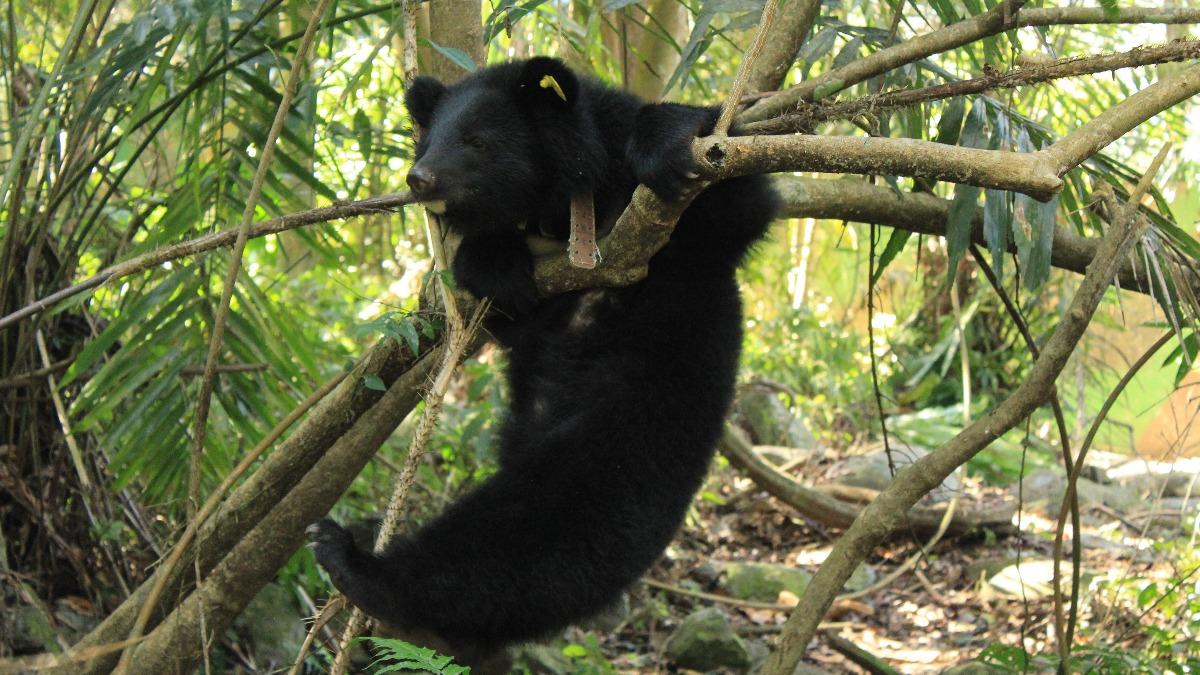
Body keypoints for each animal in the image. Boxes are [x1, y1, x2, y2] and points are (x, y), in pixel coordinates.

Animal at [310, 56, 779, 668]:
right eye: (427, 140)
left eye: (476, 140)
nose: (420, 179)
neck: (565, 210)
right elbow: (502, 298)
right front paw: (500, 267)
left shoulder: (691, 244)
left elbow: (738, 198)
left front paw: (667, 149)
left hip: (628, 429)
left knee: (533, 535)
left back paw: (359, 564)